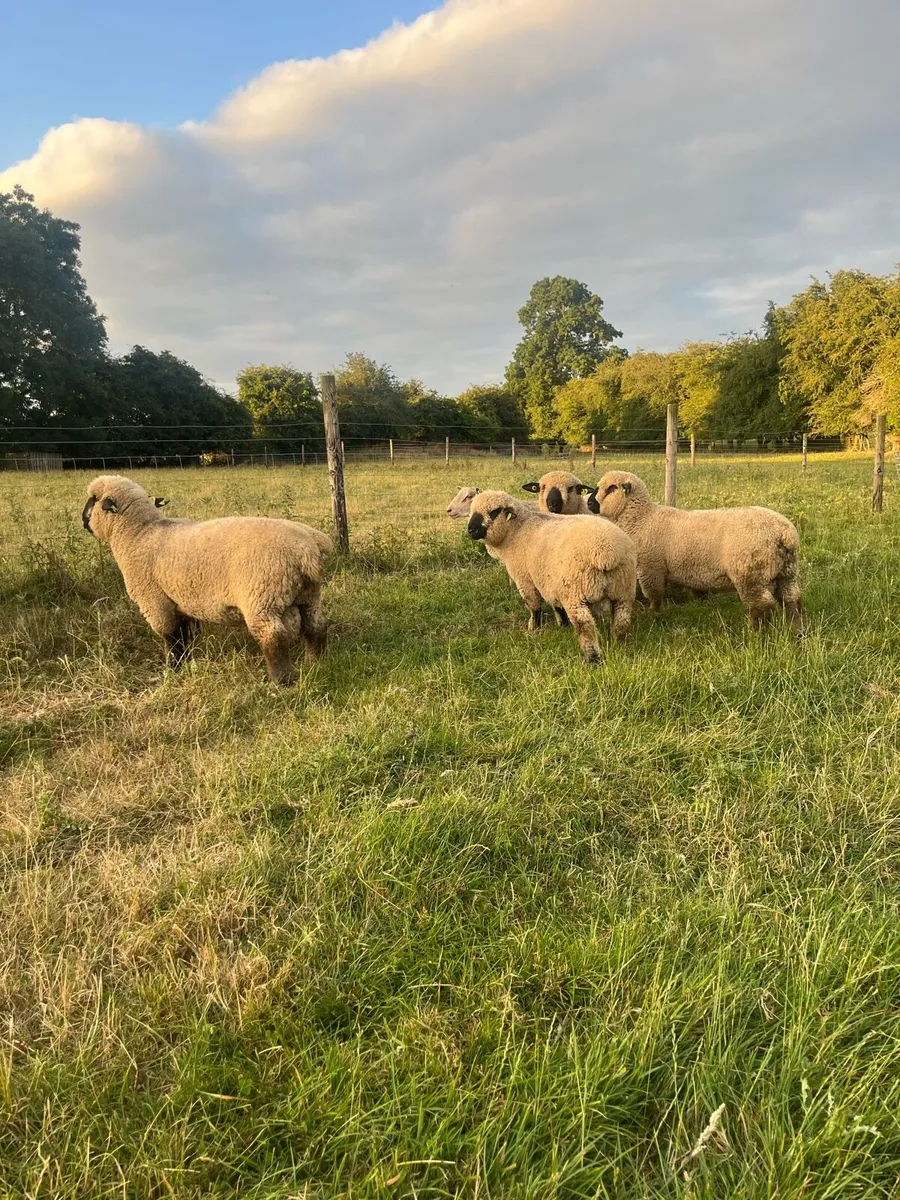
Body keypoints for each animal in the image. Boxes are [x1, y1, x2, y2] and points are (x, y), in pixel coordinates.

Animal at [81, 475, 333, 684]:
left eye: (93, 499)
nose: (83, 522)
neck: (139, 533)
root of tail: (307, 548)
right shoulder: (179, 602)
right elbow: (183, 636)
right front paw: (185, 663)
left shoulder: (155, 601)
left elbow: (171, 638)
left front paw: (173, 669)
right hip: (308, 595)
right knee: (315, 626)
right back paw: (317, 663)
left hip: (262, 597)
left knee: (273, 637)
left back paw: (282, 681)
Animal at [466, 490, 637, 660]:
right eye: (472, 511)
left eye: (493, 512)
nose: (471, 531)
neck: (517, 530)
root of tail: (605, 552)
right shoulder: (551, 582)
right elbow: (556, 605)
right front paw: (563, 625)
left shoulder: (525, 580)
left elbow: (534, 606)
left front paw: (534, 628)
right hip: (623, 590)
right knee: (622, 619)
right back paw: (619, 645)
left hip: (575, 593)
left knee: (584, 624)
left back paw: (592, 657)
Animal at [588, 470, 802, 632]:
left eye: (611, 488)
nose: (589, 504)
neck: (642, 519)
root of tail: (785, 532)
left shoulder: (650, 569)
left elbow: (655, 596)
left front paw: (654, 614)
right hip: (786, 572)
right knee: (792, 599)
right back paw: (797, 632)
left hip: (750, 574)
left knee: (762, 606)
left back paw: (758, 635)